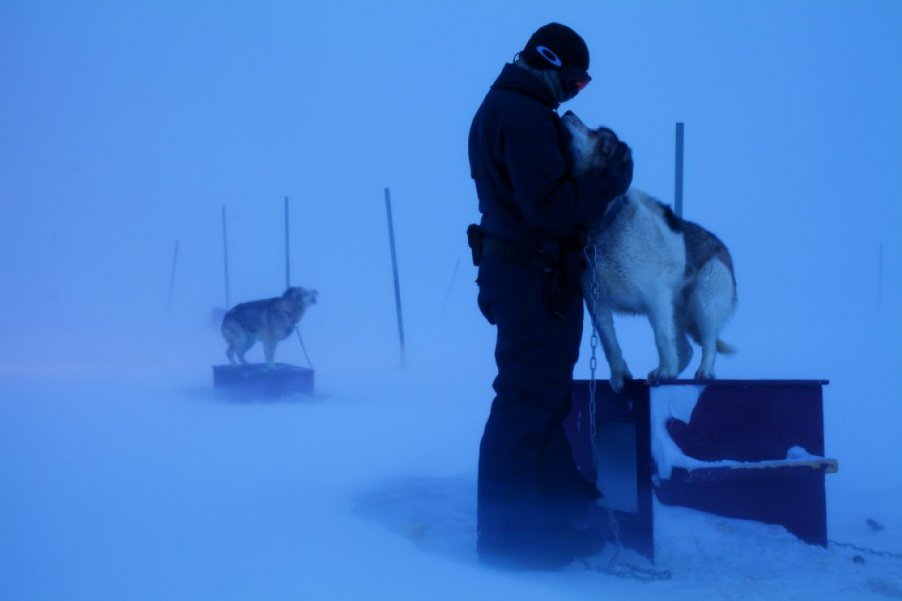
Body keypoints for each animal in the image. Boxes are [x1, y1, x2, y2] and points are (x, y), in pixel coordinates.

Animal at [560, 111, 740, 394]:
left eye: (599, 135)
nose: (568, 113)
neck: (605, 225)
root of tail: (722, 248)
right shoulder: (597, 301)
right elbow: (610, 343)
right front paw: (620, 375)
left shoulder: (656, 298)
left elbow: (661, 338)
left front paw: (666, 369)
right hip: (678, 309)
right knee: (686, 349)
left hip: (704, 302)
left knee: (707, 342)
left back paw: (703, 371)